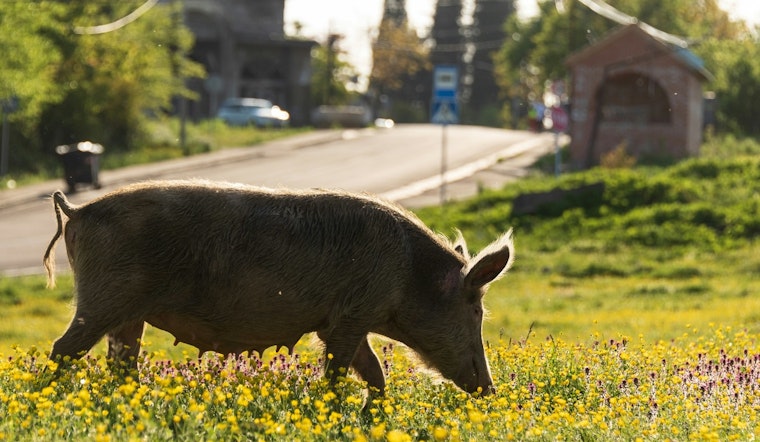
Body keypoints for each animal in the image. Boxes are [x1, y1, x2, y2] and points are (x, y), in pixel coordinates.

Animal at [43, 180, 514, 397]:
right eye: (476, 310)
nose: (489, 389)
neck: (408, 274)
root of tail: (78, 211)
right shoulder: (352, 315)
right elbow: (339, 371)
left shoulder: (343, 319)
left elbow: (375, 373)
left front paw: (371, 415)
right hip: (102, 299)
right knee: (62, 350)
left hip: (128, 313)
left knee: (121, 363)